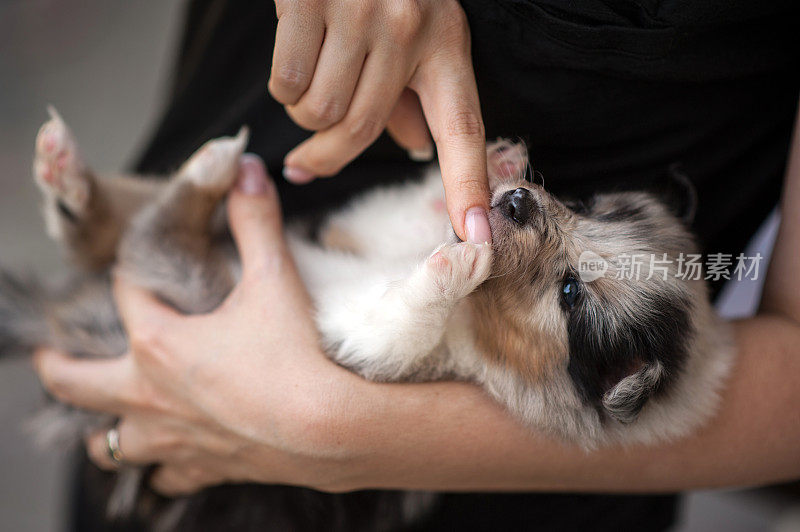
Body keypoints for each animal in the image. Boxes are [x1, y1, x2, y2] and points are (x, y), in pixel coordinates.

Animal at [0, 108, 732, 528]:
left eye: (572, 293)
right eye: (579, 204)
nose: (517, 200)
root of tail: (59, 318)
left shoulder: (371, 347)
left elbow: (405, 313)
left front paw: (461, 257)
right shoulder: (367, 233)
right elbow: (415, 211)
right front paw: (491, 163)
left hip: (197, 280)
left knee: (150, 236)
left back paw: (201, 168)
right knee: (110, 229)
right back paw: (71, 171)